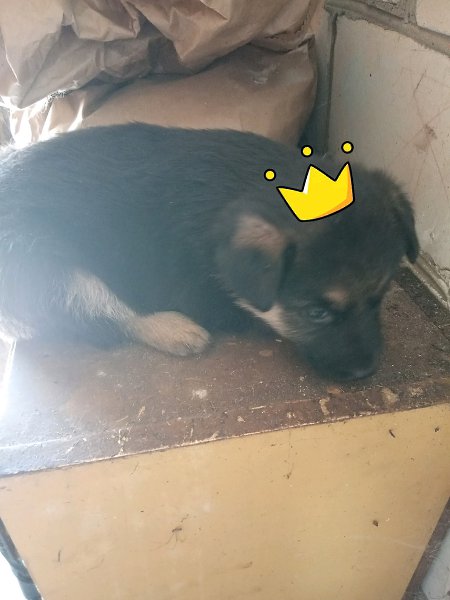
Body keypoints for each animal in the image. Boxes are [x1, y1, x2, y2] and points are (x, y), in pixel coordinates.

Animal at [0, 124, 418, 381]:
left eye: (380, 297)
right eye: (315, 313)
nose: (366, 372)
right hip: (39, 260)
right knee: (96, 310)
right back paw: (174, 329)